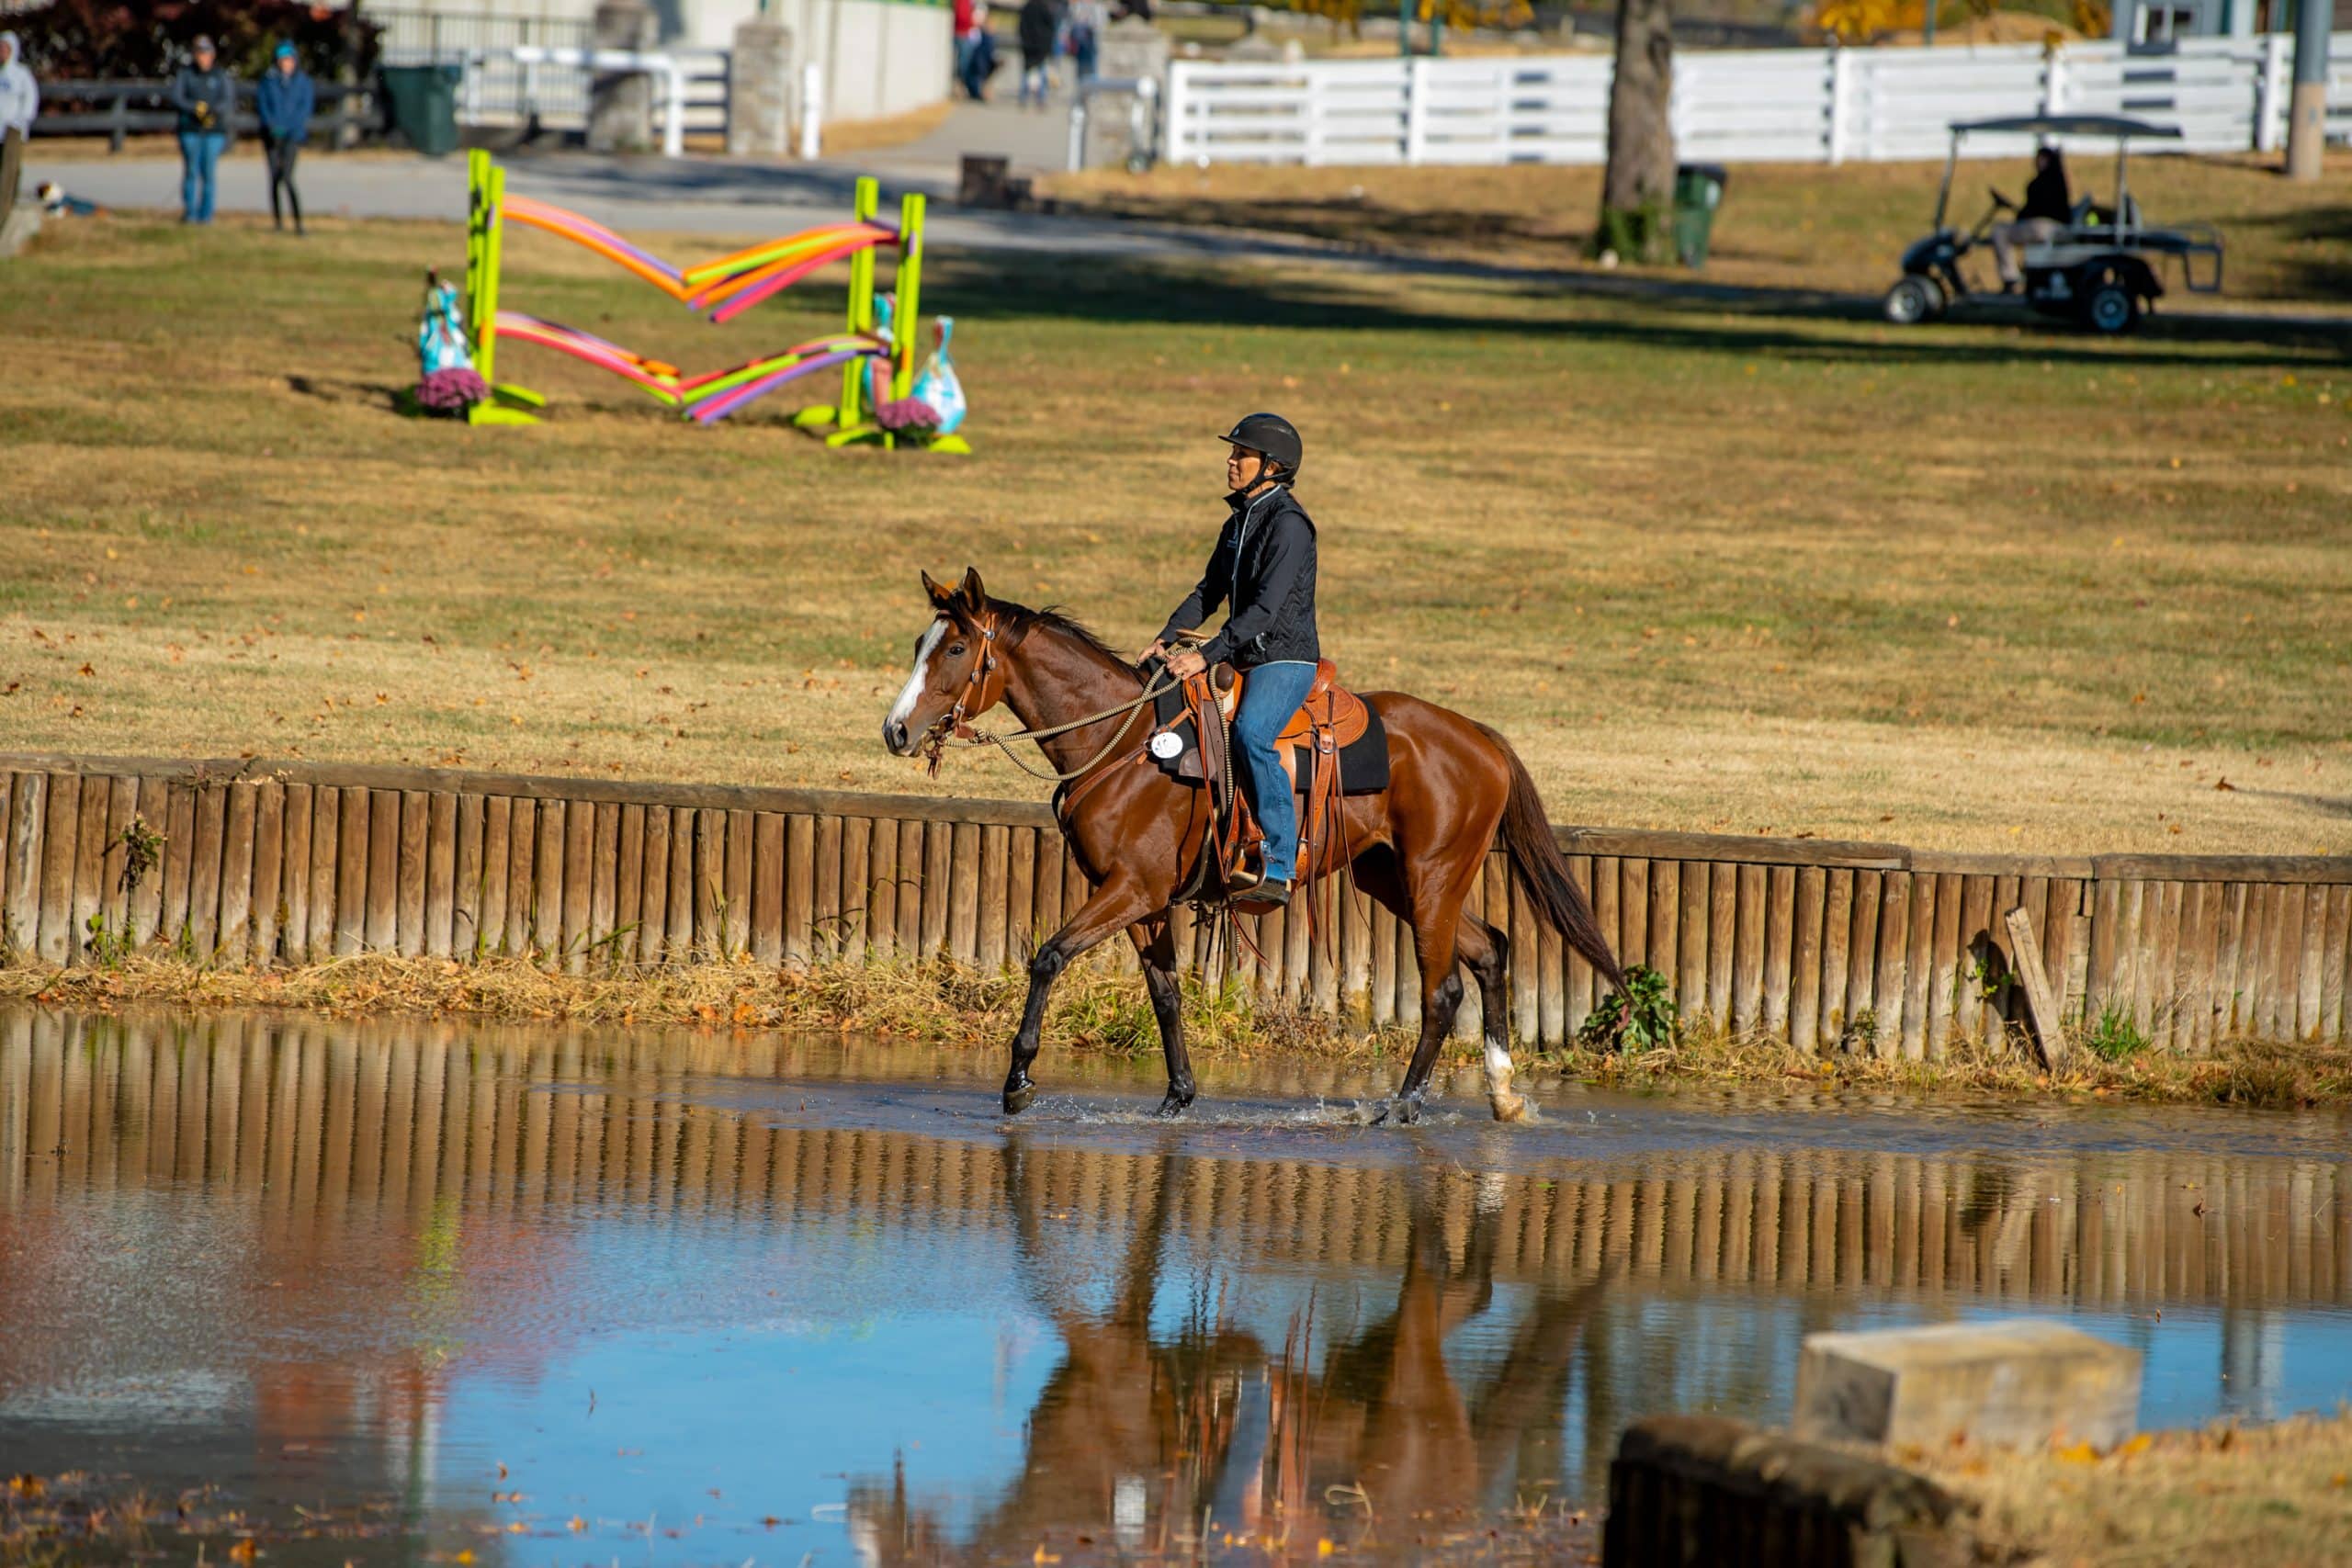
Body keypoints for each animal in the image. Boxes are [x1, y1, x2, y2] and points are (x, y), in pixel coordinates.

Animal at [884, 570, 1618, 1123]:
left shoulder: (1129, 890)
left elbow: (1048, 958)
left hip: (1433, 877)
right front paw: (1178, 1096)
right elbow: (1165, 993)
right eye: (921, 642)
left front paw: (1018, 1080)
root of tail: (1480, 737)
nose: (895, 730)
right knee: (1490, 948)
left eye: (955, 651)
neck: (1125, 745)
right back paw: (1502, 1092)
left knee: (1441, 991)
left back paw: (1405, 1105)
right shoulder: (1145, 900)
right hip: (1391, 879)